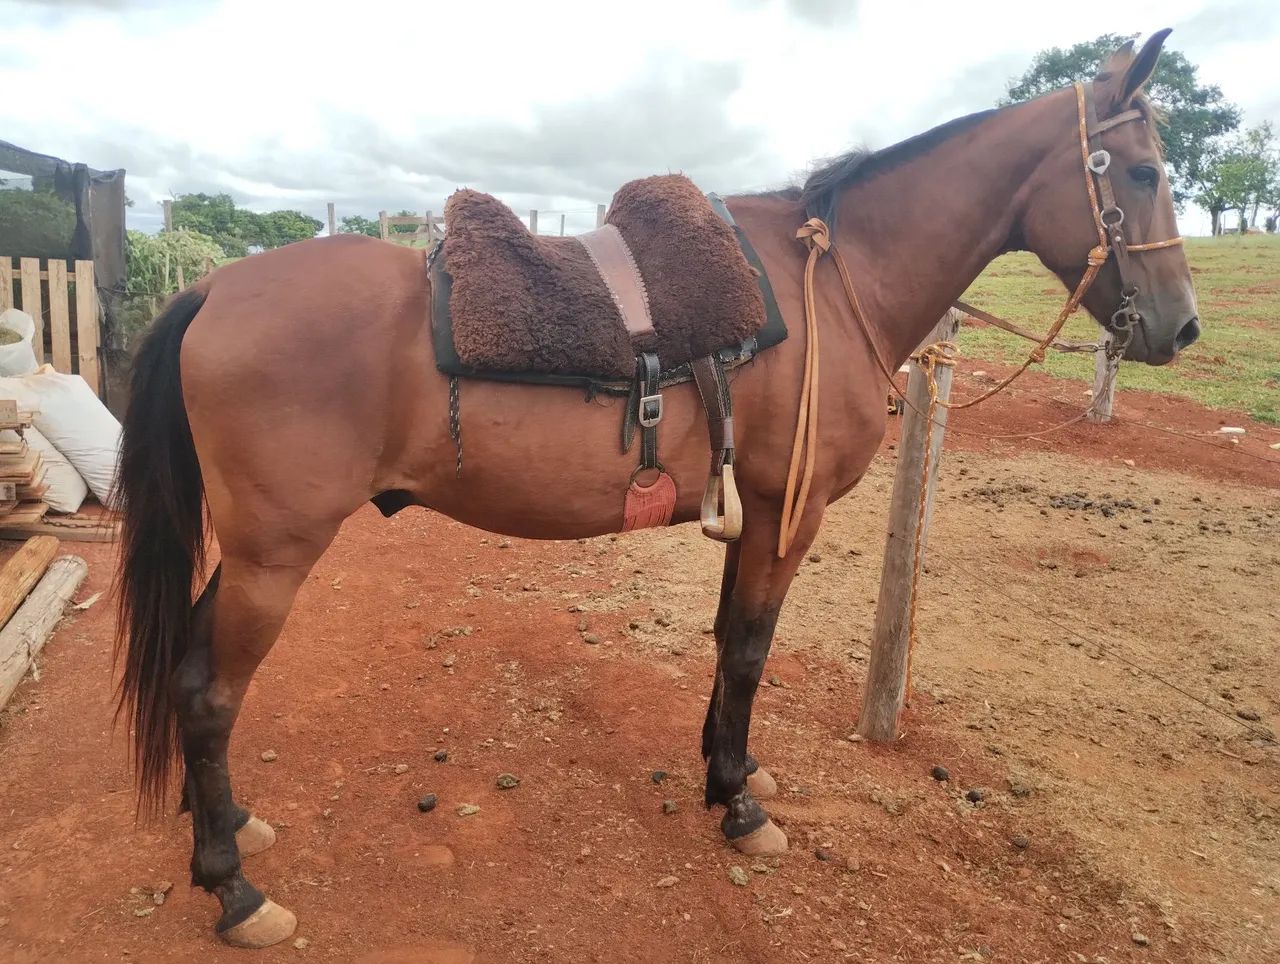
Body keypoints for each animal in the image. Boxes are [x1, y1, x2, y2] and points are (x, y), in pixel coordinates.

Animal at [115, 30, 1198, 947]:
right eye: (1143, 172)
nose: (1179, 326)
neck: (833, 281)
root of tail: (213, 287)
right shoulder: (788, 514)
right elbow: (751, 649)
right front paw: (740, 805)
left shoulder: (751, 510)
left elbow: (726, 642)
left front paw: (731, 768)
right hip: (277, 553)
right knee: (210, 692)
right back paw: (233, 888)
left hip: (254, 553)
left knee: (191, 669)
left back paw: (232, 824)